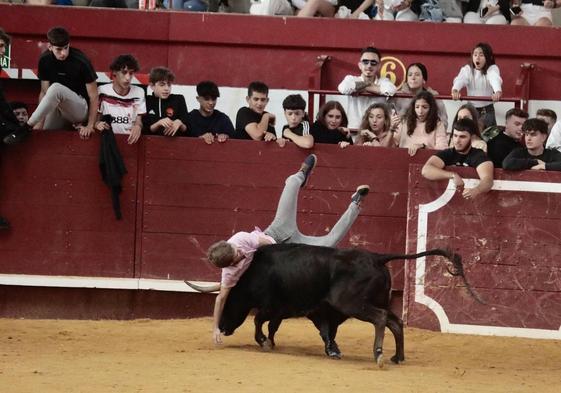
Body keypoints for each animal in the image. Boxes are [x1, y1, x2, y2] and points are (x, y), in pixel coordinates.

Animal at [195, 243, 474, 366]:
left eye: (229, 302)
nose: (222, 328)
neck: (253, 271)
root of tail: (376, 257)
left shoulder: (274, 305)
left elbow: (258, 321)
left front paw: (264, 342)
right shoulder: (302, 310)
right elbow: (318, 330)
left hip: (353, 304)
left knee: (381, 319)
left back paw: (379, 354)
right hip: (375, 301)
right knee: (396, 322)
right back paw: (397, 356)